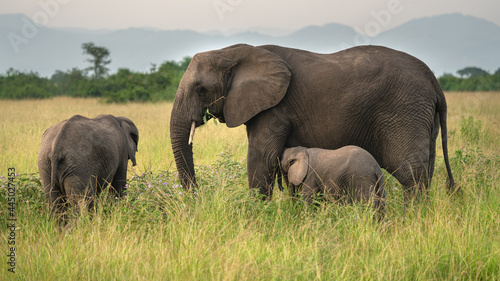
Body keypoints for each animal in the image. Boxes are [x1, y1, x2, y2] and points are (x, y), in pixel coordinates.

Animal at [170, 43, 456, 199]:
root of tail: (434, 81)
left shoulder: (274, 108)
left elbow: (262, 158)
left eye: (200, 90)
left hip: (405, 111)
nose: (197, 199)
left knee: (411, 176)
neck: (232, 52)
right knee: (424, 172)